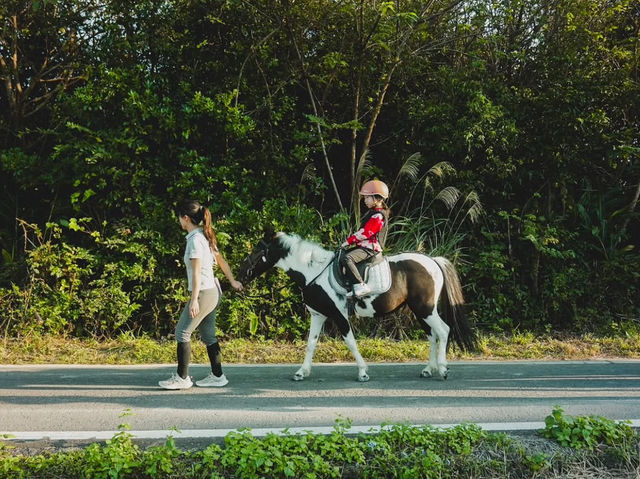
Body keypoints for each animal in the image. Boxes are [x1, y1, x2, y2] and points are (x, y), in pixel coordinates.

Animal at [239, 232, 476, 382]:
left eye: (258, 250)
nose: (241, 276)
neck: (313, 272)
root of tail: (433, 261)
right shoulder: (318, 315)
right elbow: (311, 344)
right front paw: (301, 372)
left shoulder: (339, 315)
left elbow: (351, 343)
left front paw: (363, 372)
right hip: (421, 311)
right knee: (432, 335)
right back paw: (428, 369)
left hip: (425, 309)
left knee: (443, 331)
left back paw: (442, 369)